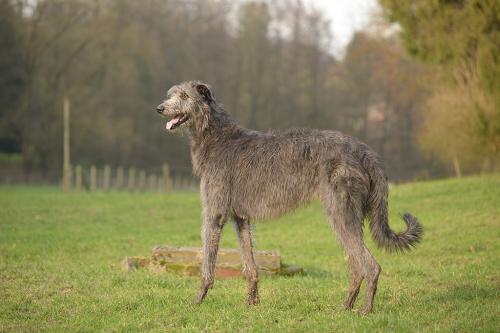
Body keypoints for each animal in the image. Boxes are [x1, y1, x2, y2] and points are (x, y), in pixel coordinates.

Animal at [155, 79, 422, 312]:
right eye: (172, 94)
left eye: (184, 96)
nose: (160, 108)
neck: (216, 137)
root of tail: (366, 152)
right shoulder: (241, 218)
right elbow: (250, 264)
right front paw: (252, 302)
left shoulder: (214, 214)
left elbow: (208, 265)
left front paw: (197, 300)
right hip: (345, 215)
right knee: (357, 266)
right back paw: (345, 307)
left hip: (340, 211)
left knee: (371, 266)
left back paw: (365, 310)